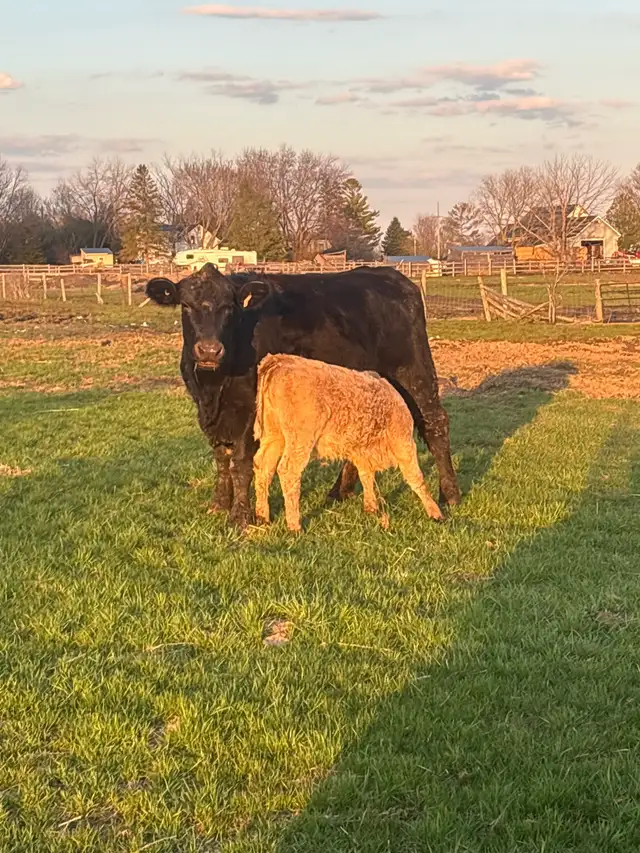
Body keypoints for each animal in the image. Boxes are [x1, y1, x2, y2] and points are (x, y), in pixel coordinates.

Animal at [253, 354, 445, 531]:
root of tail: (280, 360)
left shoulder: (360, 451)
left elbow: (366, 475)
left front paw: (371, 508)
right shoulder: (403, 442)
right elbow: (416, 477)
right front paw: (435, 512)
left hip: (274, 436)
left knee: (263, 466)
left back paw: (262, 517)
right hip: (300, 439)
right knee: (288, 471)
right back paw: (294, 526)